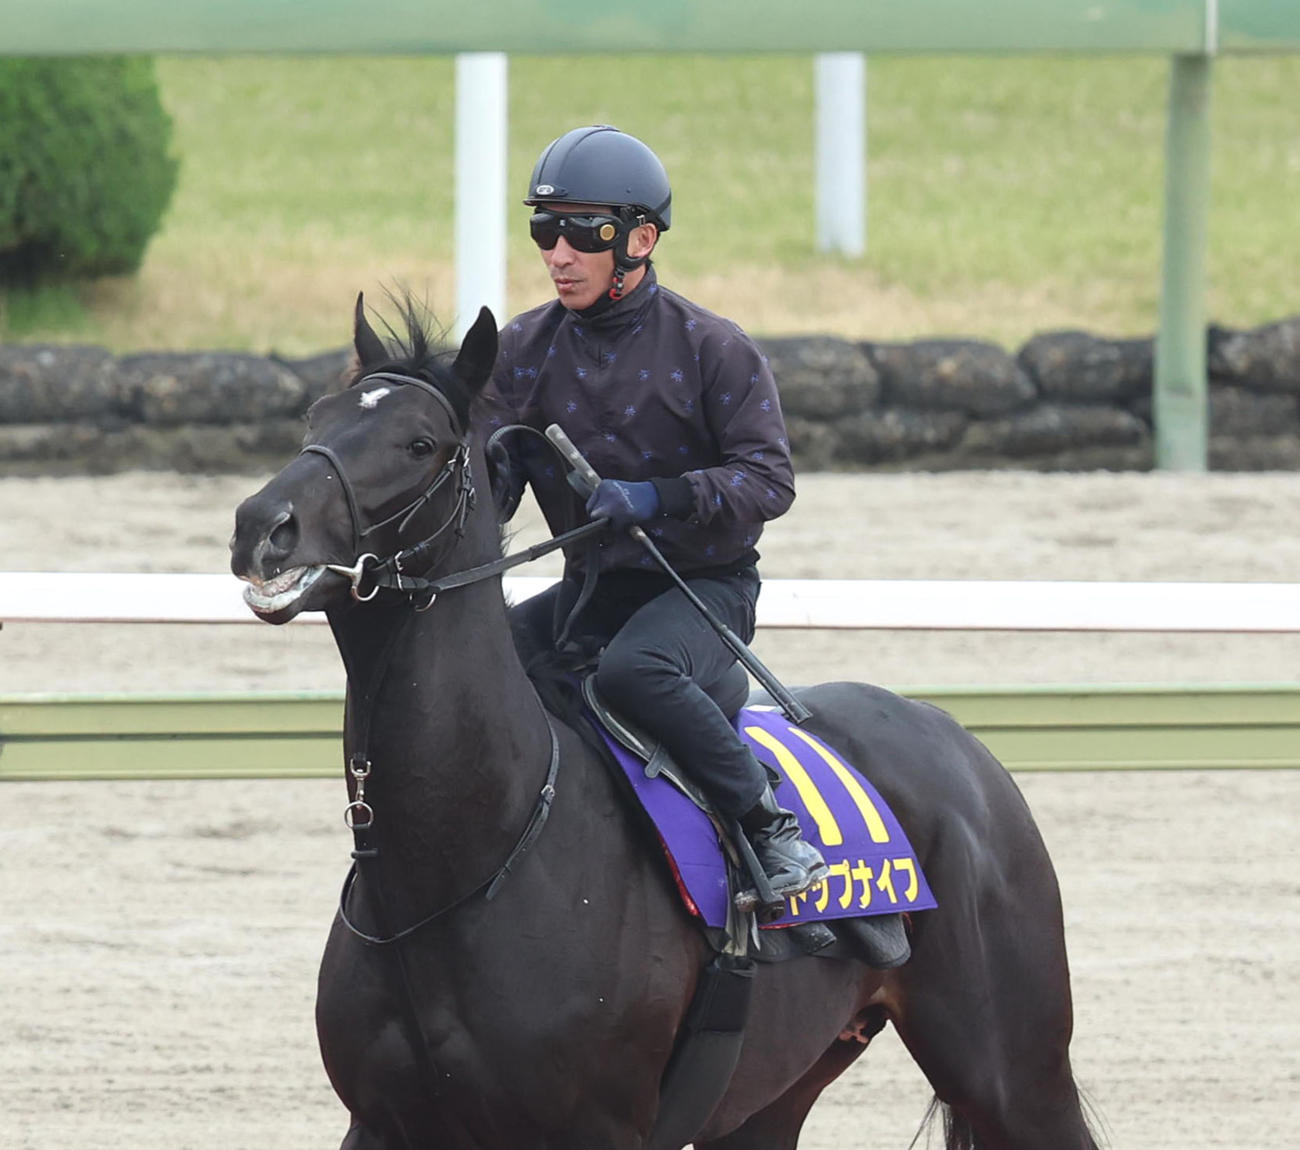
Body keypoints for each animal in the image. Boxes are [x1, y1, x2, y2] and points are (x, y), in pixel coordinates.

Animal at [229, 296, 1101, 1150]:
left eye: (418, 443)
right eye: (315, 417)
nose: (260, 525)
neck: (465, 867)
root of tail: (960, 745)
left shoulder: (599, 1127)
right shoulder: (381, 1121)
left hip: (1014, 1071)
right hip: (774, 1094)